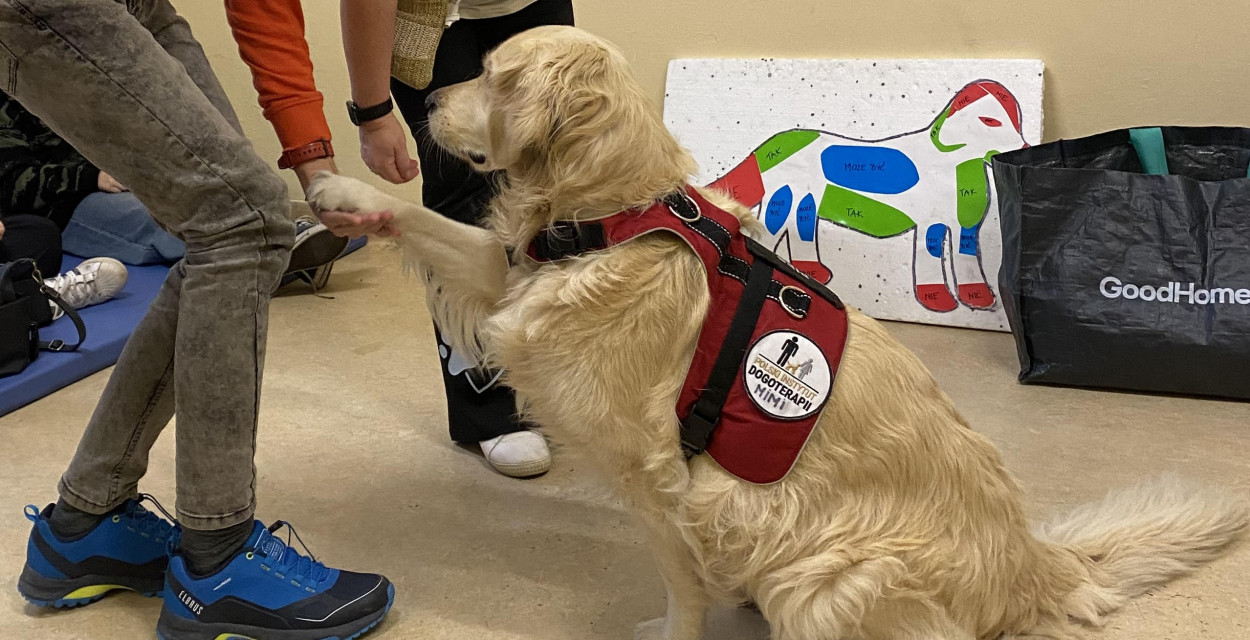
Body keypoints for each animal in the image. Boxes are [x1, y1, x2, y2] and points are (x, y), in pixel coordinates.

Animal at [307, 25, 1245, 640]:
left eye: (494, 75)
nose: (423, 97)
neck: (615, 215)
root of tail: (1029, 564)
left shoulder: (666, 481)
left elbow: (682, 585)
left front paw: (670, 630)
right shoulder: (510, 270)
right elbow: (429, 223)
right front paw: (340, 193)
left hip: (823, 577)